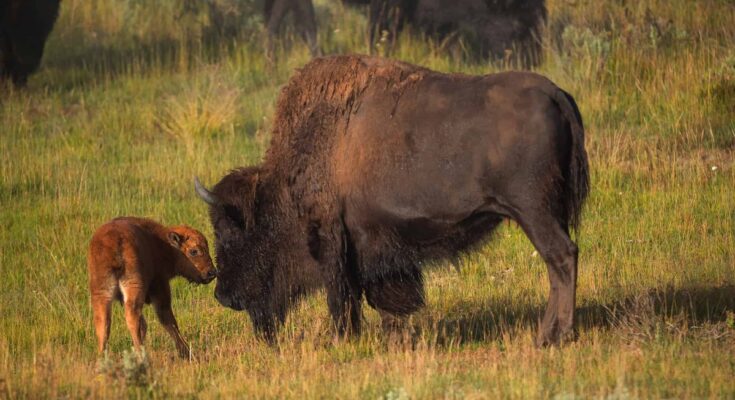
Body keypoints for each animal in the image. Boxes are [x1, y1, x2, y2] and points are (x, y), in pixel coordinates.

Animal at [196, 55, 589, 346]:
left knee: (561, 257)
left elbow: (344, 296)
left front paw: (342, 339)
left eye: (230, 231)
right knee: (560, 260)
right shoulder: (373, 246)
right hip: (547, 211)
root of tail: (554, 92)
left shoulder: (335, 239)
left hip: (532, 211)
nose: (223, 296)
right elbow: (378, 294)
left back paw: (553, 336)